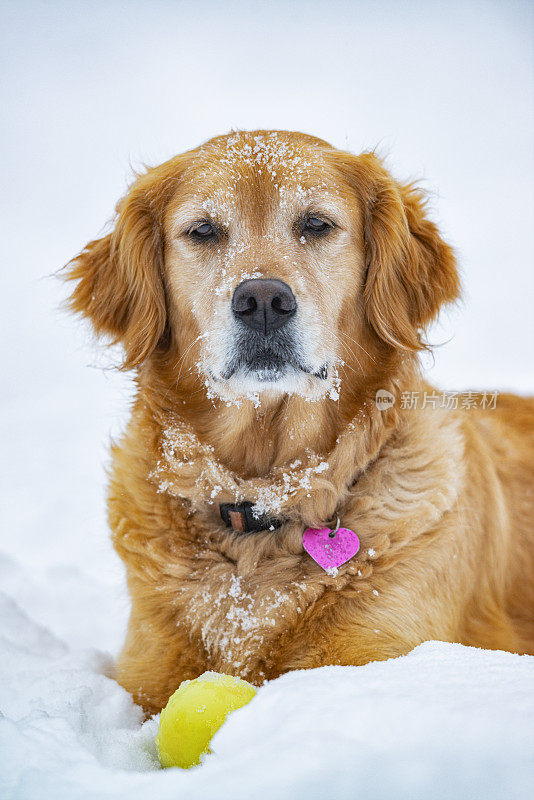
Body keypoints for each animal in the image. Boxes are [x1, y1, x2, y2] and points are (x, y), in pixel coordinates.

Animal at [67, 131, 534, 712]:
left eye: (316, 224)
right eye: (203, 231)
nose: (263, 299)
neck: (265, 502)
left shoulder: (377, 651)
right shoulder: (145, 677)